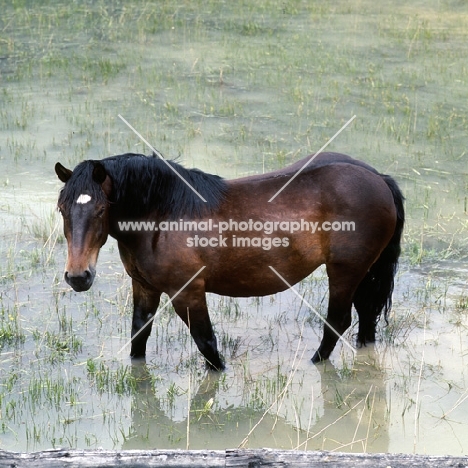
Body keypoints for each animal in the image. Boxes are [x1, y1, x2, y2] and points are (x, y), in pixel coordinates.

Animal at [54, 152, 404, 372]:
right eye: (62, 209)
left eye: (101, 210)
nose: (78, 276)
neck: (161, 216)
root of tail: (377, 177)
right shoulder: (144, 287)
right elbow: (139, 338)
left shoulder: (187, 293)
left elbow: (207, 344)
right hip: (364, 273)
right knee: (366, 317)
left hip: (345, 272)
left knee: (338, 321)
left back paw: (313, 363)